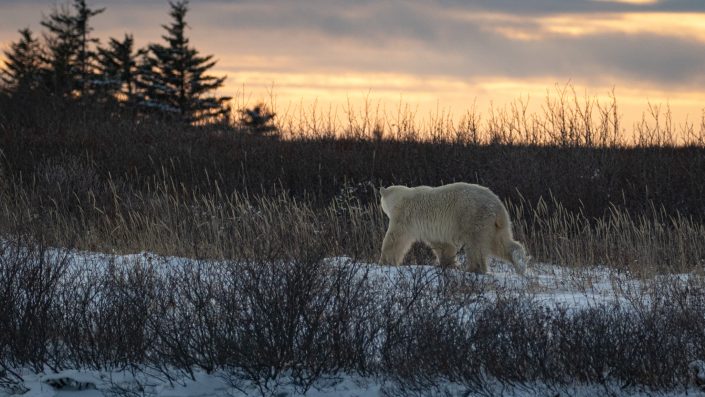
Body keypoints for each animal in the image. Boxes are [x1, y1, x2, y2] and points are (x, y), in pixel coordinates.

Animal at [380, 182, 524, 272]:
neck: (399, 197)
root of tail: (497, 205)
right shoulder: (434, 228)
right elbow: (443, 245)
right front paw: (449, 264)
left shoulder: (404, 216)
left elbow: (395, 238)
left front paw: (385, 262)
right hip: (495, 224)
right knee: (501, 242)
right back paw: (519, 262)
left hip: (473, 217)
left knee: (476, 244)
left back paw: (473, 269)